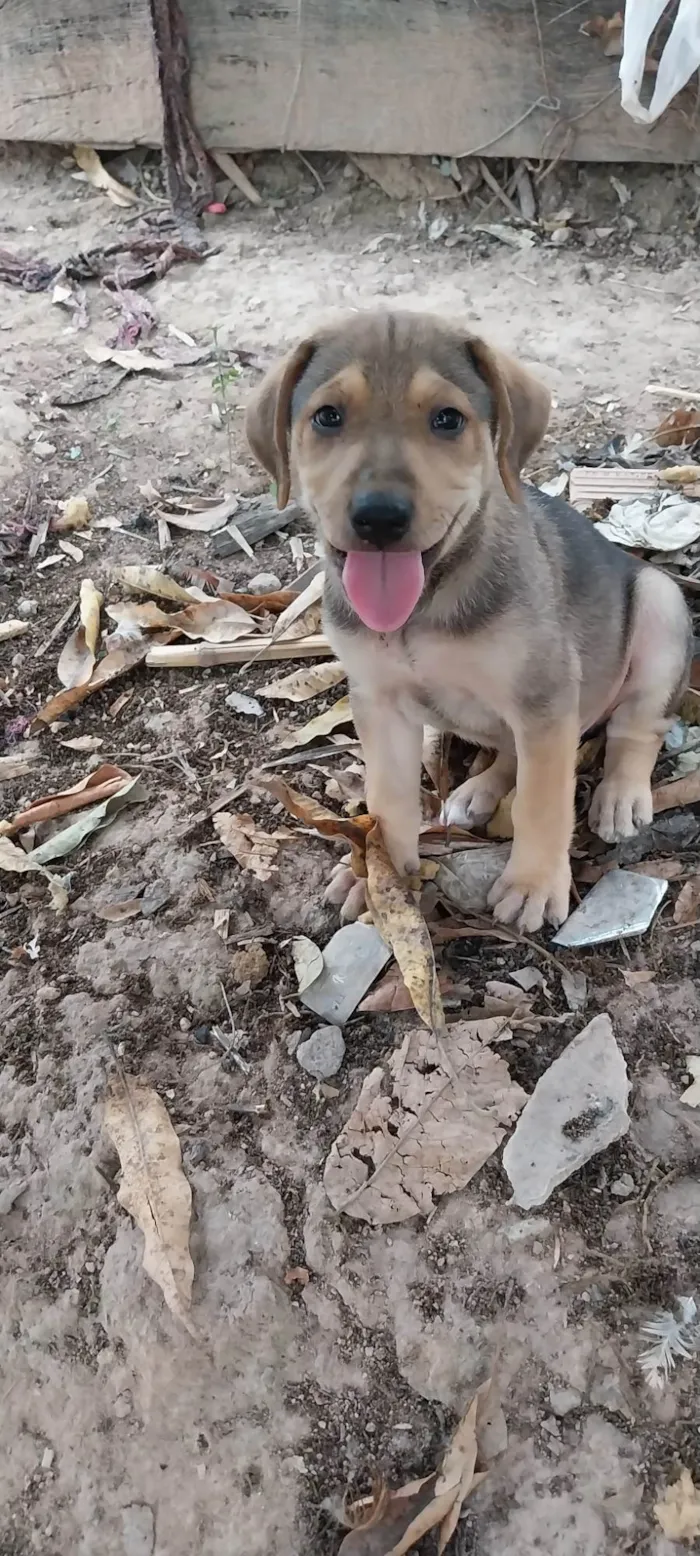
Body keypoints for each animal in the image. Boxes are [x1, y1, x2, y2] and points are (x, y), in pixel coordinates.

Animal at [244, 309, 687, 927]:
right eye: (328, 416)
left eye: (447, 419)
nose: (379, 518)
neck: (424, 605)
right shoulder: (380, 702)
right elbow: (388, 796)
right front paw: (380, 875)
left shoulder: (545, 696)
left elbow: (543, 802)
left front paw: (533, 884)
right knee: (512, 752)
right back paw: (478, 790)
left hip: (659, 604)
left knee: (635, 725)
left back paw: (620, 793)